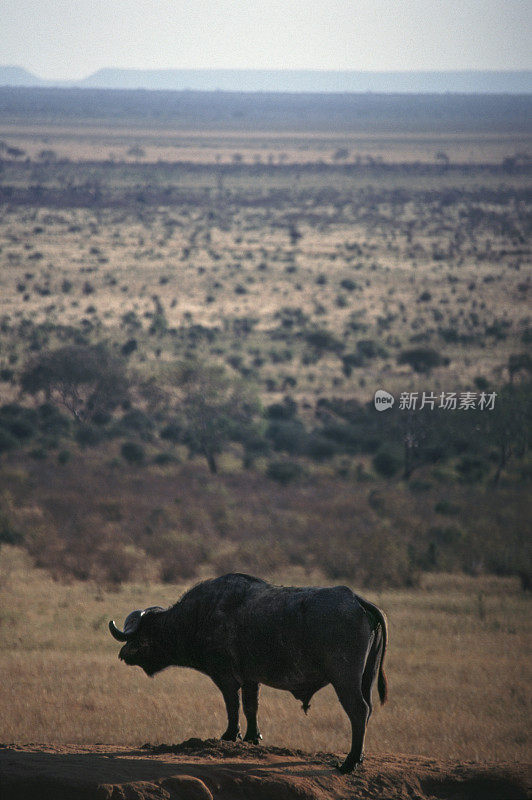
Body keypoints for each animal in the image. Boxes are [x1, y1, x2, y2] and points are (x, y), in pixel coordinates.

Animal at [110, 572, 388, 772]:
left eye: (142, 634)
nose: (123, 654)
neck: (200, 615)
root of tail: (355, 599)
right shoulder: (251, 679)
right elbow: (251, 707)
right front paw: (253, 737)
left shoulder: (226, 678)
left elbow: (232, 706)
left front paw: (230, 735)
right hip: (366, 678)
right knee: (368, 711)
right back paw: (359, 758)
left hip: (345, 680)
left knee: (358, 711)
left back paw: (349, 763)